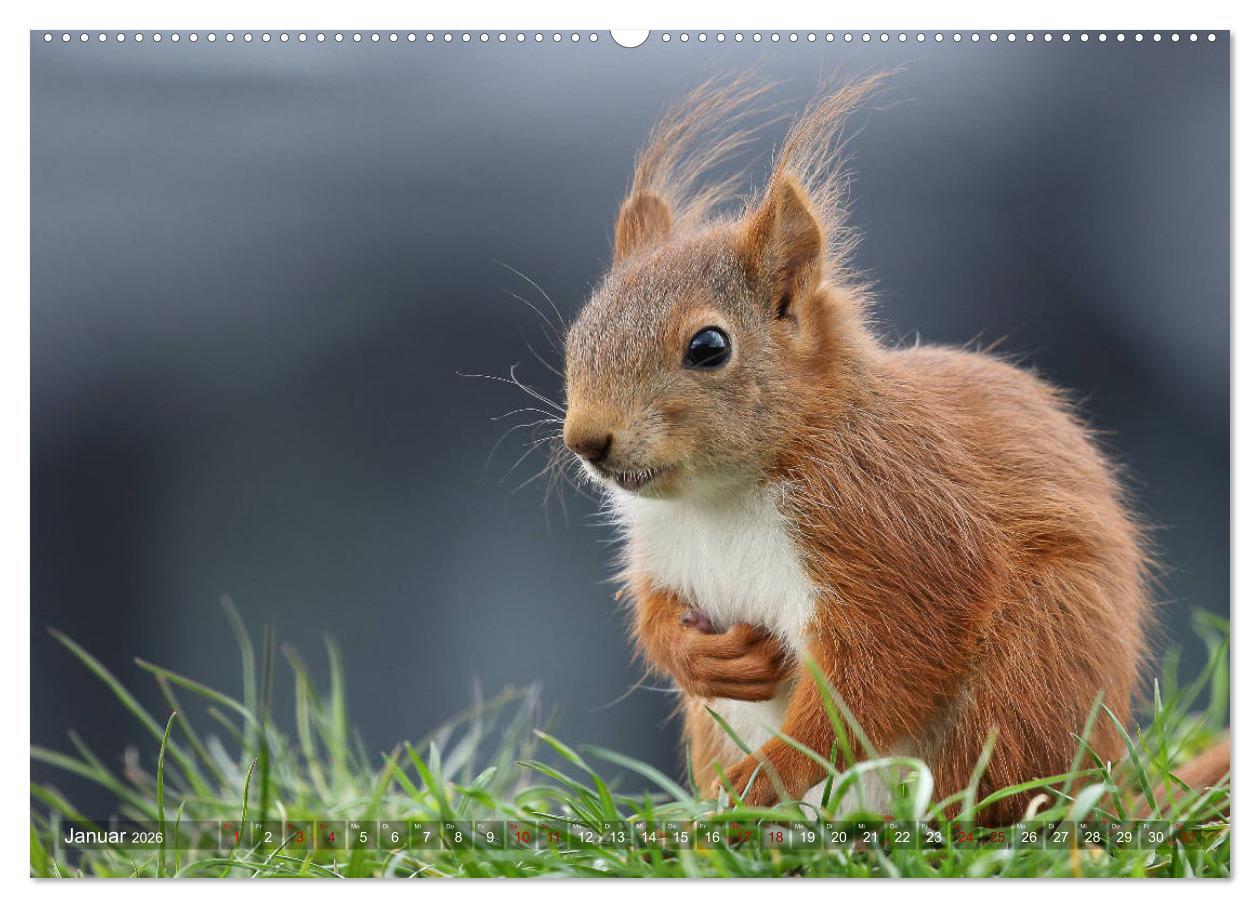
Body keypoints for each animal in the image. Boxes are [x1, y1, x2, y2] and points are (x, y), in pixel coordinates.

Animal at [560, 74, 1157, 826]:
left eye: (709, 346)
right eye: (581, 330)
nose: (586, 440)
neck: (723, 496)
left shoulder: (894, 524)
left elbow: (881, 667)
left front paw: (768, 774)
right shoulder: (666, 550)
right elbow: (653, 612)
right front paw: (697, 658)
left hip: (1031, 670)